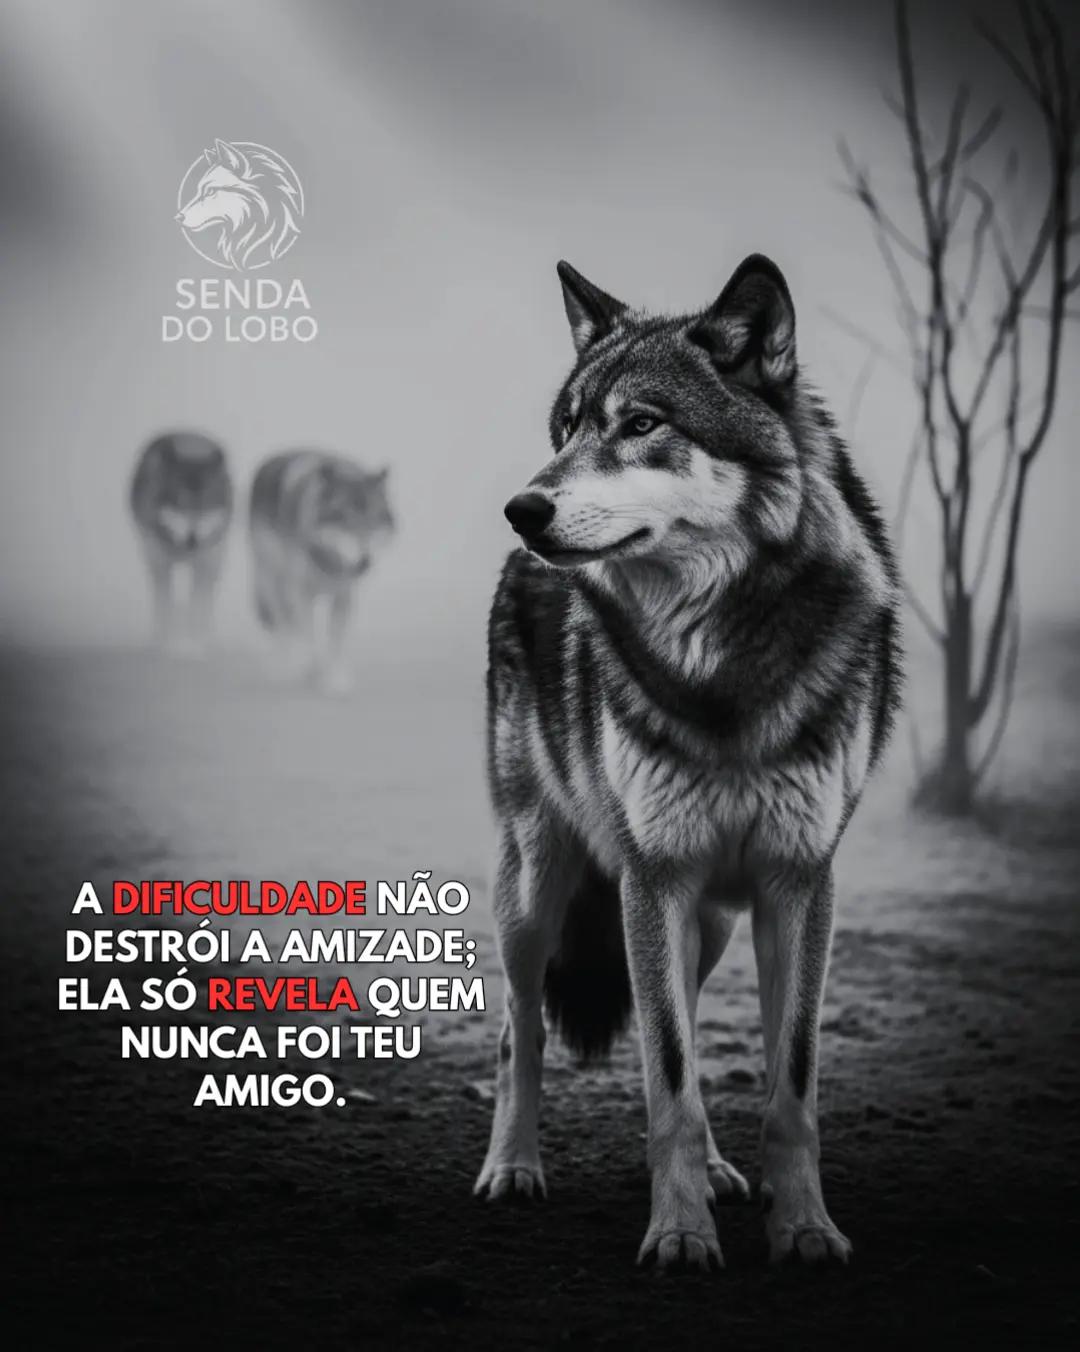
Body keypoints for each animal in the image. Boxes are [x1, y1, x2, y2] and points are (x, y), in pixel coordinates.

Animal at [130, 432, 233, 653]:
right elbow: (166, 605)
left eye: (205, 505)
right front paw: (166, 642)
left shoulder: (205, 564)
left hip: (215, 562)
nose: (192, 539)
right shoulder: (162, 564)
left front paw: (197, 642)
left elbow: (198, 606)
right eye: (179, 504)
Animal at [249, 450, 394, 692]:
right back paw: (283, 666)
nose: (364, 562)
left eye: (373, 521)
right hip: (273, 582)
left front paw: (334, 681)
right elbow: (311, 641)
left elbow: (334, 644)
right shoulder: (301, 595)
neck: (330, 564)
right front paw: (315, 673)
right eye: (345, 521)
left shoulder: (343, 597)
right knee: (283, 626)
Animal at [476, 255, 901, 1273]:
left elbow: (788, 1086)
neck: (723, 663)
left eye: (641, 423)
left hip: (699, 920)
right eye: (567, 428)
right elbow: (666, 1076)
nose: (522, 508)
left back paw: (712, 1172)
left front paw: (804, 1228)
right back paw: (512, 1169)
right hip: (536, 890)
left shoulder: (799, 882)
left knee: (690, 1023)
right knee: (519, 1028)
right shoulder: (653, 876)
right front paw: (677, 1235)